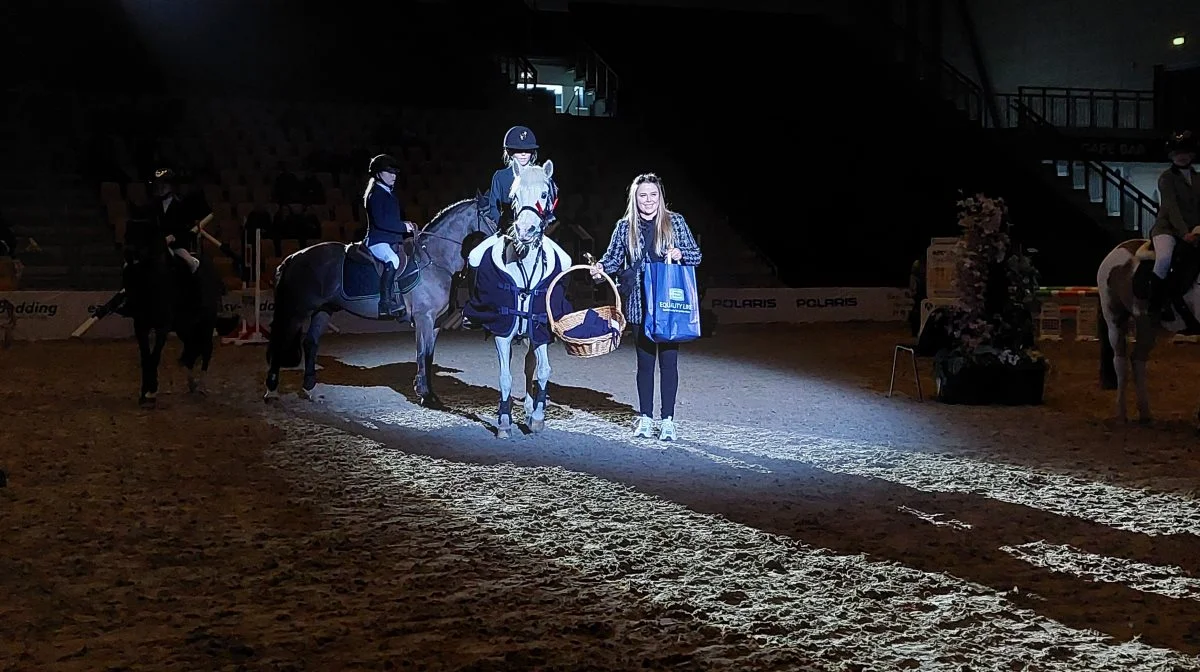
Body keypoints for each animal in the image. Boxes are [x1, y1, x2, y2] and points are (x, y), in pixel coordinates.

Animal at [266, 192, 496, 408]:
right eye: (489, 218)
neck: (435, 260)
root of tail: (294, 257)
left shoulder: (436, 322)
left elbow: (429, 356)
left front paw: (429, 394)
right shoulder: (424, 318)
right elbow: (422, 354)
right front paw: (425, 395)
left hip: (323, 310)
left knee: (310, 344)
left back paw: (311, 391)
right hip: (297, 310)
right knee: (281, 341)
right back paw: (271, 391)